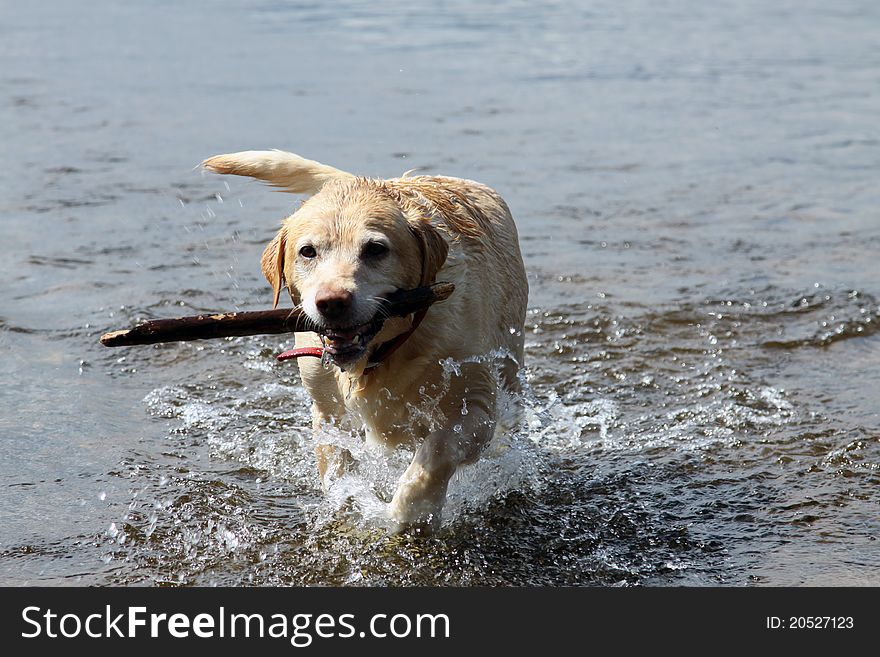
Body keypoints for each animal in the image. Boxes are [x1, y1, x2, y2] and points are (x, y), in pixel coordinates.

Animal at [201, 150, 528, 532]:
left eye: (375, 249)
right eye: (307, 252)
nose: (331, 302)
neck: (379, 356)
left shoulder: (474, 405)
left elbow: (435, 453)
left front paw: (410, 512)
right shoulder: (327, 410)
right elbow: (336, 464)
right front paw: (349, 499)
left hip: (510, 362)